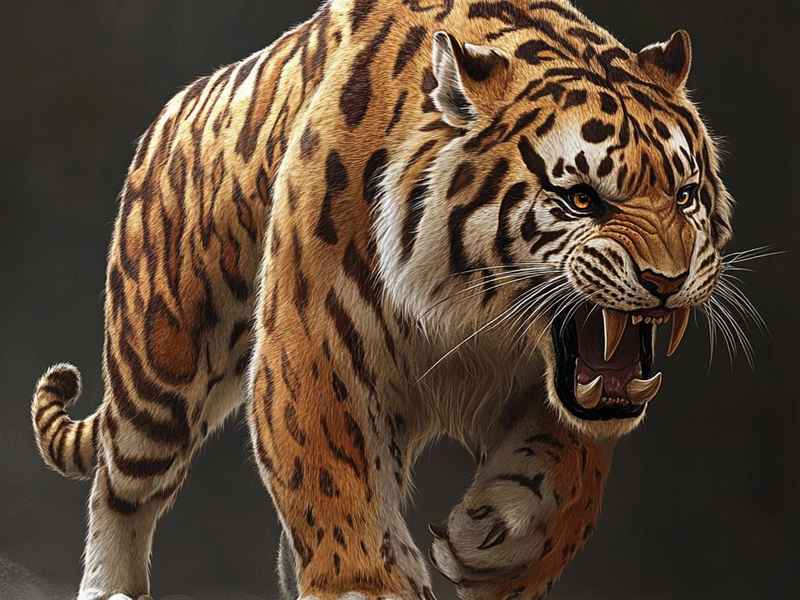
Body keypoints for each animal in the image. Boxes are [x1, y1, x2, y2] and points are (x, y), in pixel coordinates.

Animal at [30, 0, 734, 599]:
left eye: (685, 194)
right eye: (582, 198)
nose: (667, 279)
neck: (475, 312)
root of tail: (179, 102)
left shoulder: (557, 385)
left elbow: (571, 475)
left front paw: (495, 541)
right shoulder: (314, 345)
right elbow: (333, 482)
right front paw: (366, 582)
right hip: (161, 371)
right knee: (119, 486)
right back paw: (111, 589)